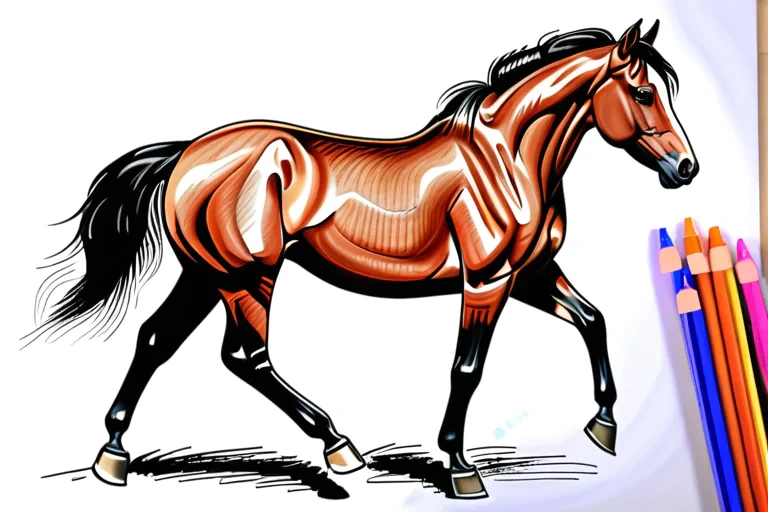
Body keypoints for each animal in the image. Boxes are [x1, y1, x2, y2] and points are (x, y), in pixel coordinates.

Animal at [28, 18, 697, 499]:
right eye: (642, 91)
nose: (686, 168)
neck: (504, 161)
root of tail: (186, 153)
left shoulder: (530, 274)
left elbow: (592, 319)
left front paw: (603, 427)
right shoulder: (487, 281)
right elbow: (467, 369)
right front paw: (460, 467)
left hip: (206, 274)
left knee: (155, 339)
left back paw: (113, 456)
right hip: (249, 277)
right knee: (246, 357)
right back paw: (339, 448)